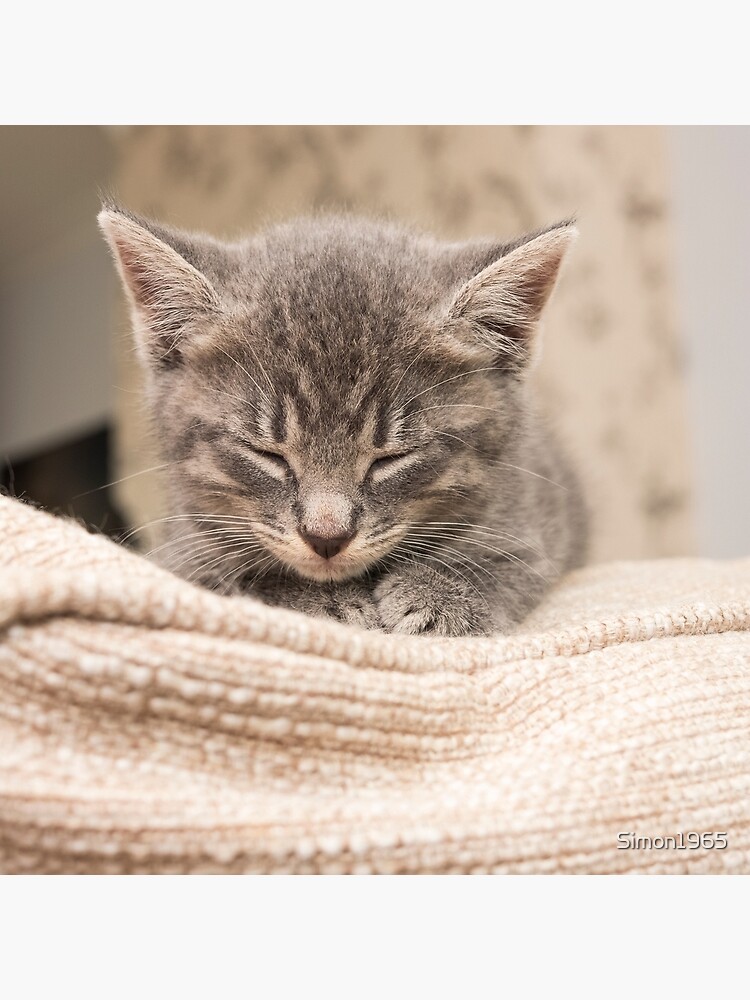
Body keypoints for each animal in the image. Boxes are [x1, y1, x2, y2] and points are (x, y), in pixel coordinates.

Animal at [100, 207, 592, 636]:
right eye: (267, 453)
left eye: (392, 457)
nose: (326, 537)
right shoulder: (180, 551)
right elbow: (235, 577)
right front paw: (323, 601)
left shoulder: (534, 519)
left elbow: (506, 561)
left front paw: (443, 596)